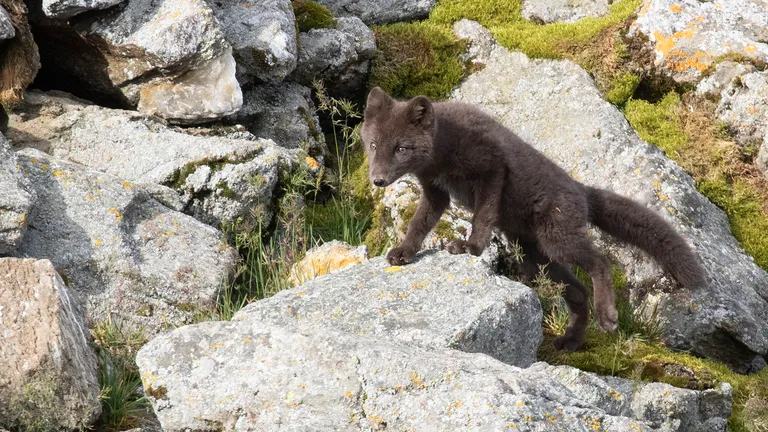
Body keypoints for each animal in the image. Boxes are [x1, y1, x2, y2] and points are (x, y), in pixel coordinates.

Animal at [361, 87, 707, 352]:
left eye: (402, 148)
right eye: (374, 144)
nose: (377, 180)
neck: (442, 149)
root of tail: (581, 191)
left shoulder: (492, 169)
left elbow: (482, 216)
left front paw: (471, 247)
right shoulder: (436, 193)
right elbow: (418, 224)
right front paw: (405, 252)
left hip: (557, 239)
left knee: (601, 262)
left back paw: (606, 316)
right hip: (534, 256)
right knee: (578, 292)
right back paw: (570, 342)